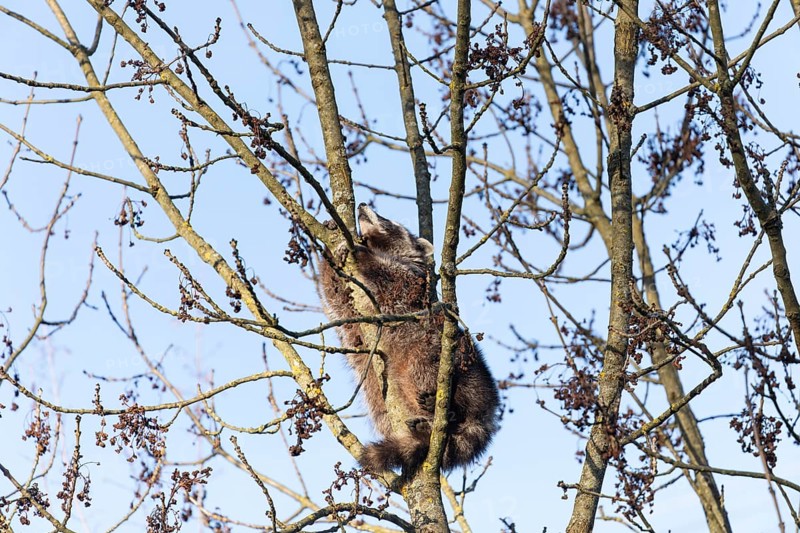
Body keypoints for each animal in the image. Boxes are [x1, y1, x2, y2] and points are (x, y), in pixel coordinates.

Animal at [318, 203, 499, 475]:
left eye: (390, 221)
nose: (362, 205)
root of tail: (487, 411)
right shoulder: (350, 311)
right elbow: (337, 297)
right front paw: (329, 249)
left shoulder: (416, 284)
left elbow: (395, 279)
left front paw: (364, 256)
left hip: (452, 362)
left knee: (421, 367)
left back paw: (451, 412)